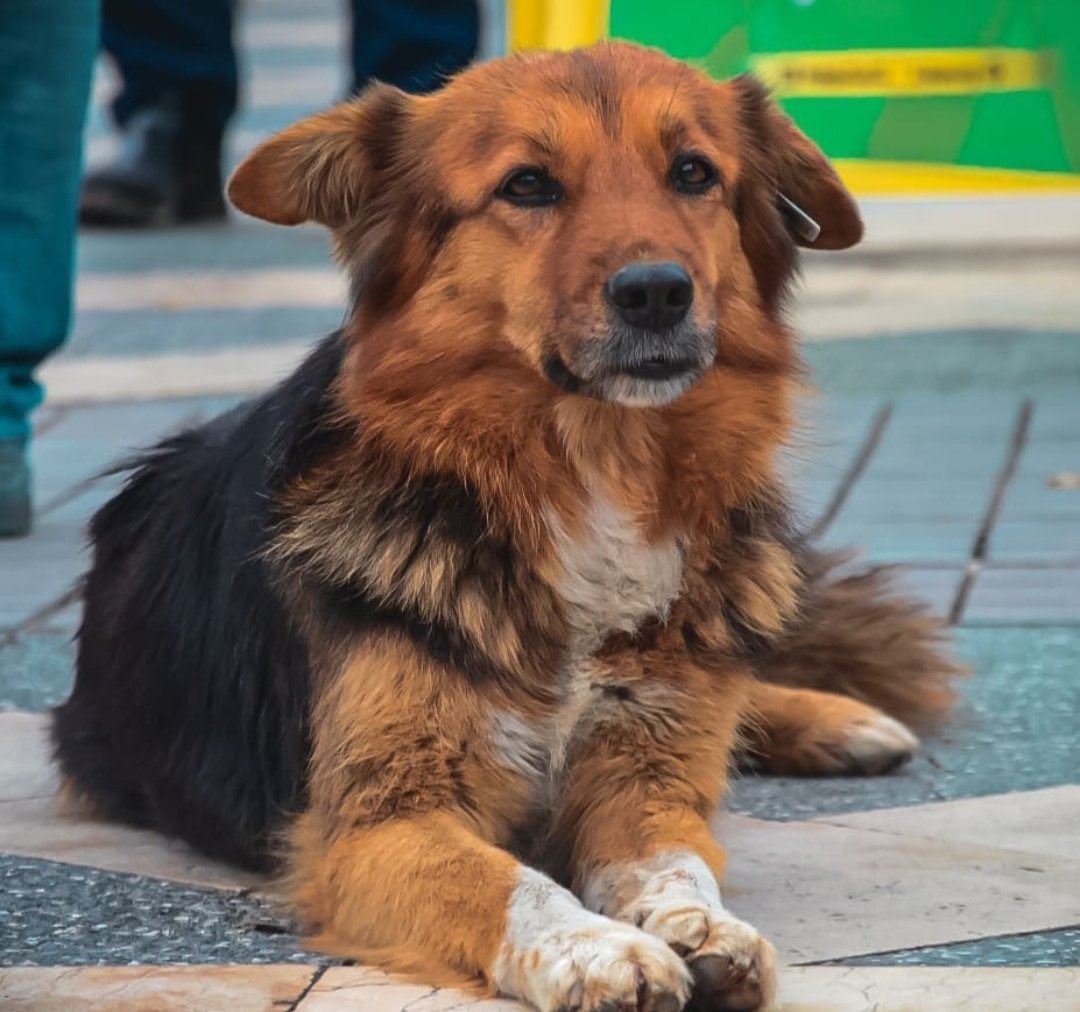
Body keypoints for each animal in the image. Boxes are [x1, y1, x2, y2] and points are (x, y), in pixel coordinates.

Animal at [48, 41, 963, 1010]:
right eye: (527, 185)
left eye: (692, 173)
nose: (656, 293)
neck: (590, 469)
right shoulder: (378, 824)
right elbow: (510, 883)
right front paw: (599, 948)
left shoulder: (648, 774)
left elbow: (675, 860)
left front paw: (699, 925)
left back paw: (840, 719)